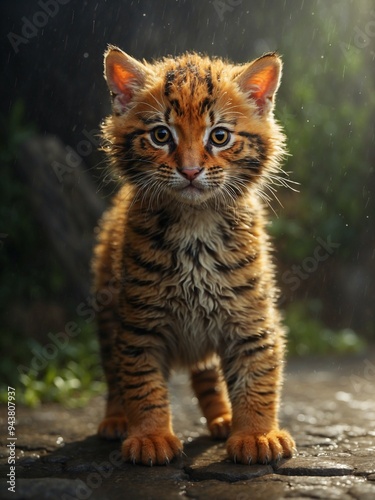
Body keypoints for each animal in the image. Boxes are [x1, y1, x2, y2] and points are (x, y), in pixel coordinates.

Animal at [92, 45, 296, 466]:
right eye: (160, 135)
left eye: (219, 136)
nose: (189, 171)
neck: (195, 224)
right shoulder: (139, 324)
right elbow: (141, 383)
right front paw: (150, 436)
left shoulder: (250, 318)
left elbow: (258, 377)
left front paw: (256, 433)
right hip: (106, 313)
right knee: (114, 374)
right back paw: (116, 419)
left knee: (207, 373)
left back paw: (222, 418)